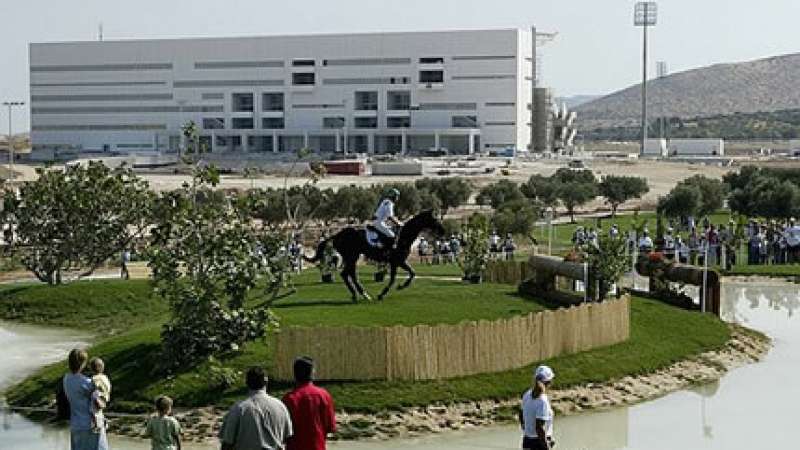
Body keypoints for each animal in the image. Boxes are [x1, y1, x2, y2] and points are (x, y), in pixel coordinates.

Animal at [304, 209, 446, 300]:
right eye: (434, 219)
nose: (443, 231)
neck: (404, 237)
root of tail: (338, 234)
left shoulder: (399, 262)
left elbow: (412, 273)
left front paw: (401, 286)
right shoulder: (396, 262)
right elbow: (395, 279)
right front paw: (383, 293)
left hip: (352, 257)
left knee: (347, 274)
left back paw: (358, 294)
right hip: (352, 256)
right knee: (348, 274)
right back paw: (362, 294)